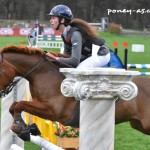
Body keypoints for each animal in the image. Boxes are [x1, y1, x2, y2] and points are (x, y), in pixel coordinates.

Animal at [0, 44, 150, 141]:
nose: (1, 94)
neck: (43, 74)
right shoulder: (38, 103)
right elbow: (14, 106)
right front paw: (27, 129)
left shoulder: (53, 111)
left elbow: (19, 105)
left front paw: (19, 128)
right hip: (138, 124)